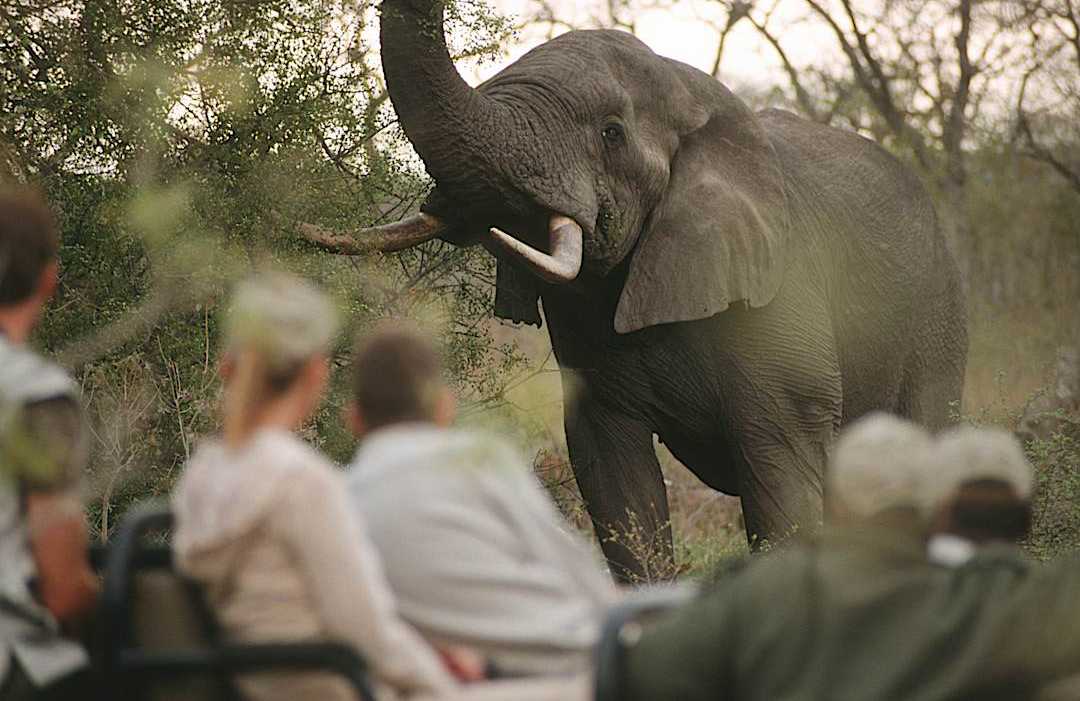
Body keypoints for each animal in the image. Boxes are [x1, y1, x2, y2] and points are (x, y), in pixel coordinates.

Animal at [331, 0, 968, 581]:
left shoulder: (781, 296)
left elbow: (781, 471)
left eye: (611, 134)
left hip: (938, 316)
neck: (691, 91)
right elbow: (616, 476)